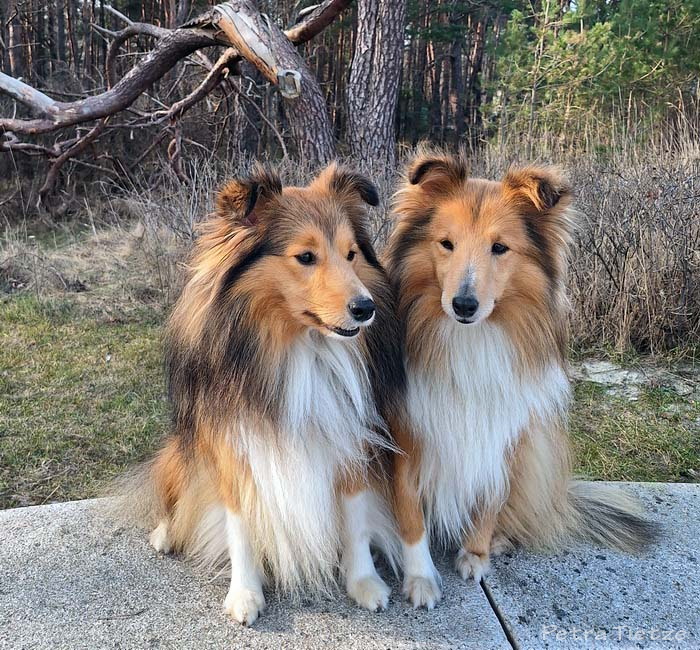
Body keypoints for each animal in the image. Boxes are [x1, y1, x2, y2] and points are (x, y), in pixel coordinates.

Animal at [134, 163, 404, 624]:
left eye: (351, 254)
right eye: (306, 256)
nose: (365, 308)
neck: (301, 348)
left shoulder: (351, 438)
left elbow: (355, 516)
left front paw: (364, 581)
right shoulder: (234, 445)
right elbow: (240, 521)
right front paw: (245, 593)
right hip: (180, 451)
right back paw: (167, 532)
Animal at [384, 148, 659, 609]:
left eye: (500, 248)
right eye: (446, 243)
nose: (463, 304)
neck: (471, 339)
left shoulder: (505, 435)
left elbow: (490, 498)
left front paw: (476, 554)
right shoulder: (407, 436)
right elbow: (410, 517)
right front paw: (421, 578)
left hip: (534, 448)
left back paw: (499, 541)